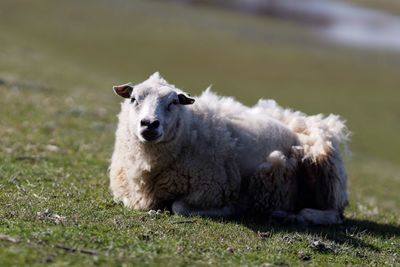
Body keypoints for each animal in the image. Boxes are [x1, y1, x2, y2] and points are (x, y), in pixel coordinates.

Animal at [109, 72, 350, 225]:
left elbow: (179, 207)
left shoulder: (210, 191)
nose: (149, 124)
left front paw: (229, 210)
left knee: (335, 214)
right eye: (133, 99)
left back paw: (296, 216)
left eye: (174, 102)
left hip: (324, 167)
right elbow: (126, 200)